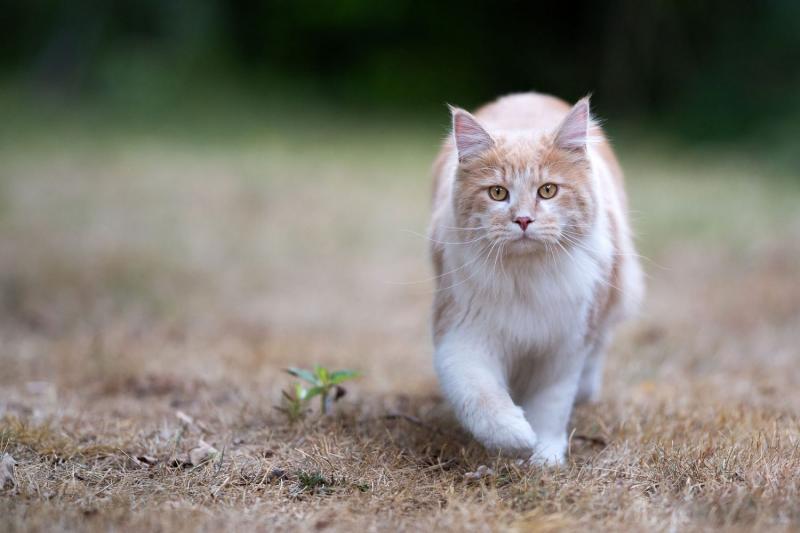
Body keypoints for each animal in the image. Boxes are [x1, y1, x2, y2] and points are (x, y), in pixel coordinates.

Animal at [432, 92, 644, 466]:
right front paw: (516, 435)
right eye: (497, 193)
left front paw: (545, 456)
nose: (523, 220)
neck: (526, 277)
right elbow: (481, 396)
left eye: (547, 191)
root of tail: (528, 95)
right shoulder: (462, 336)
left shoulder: (565, 346)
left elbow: (551, 406)